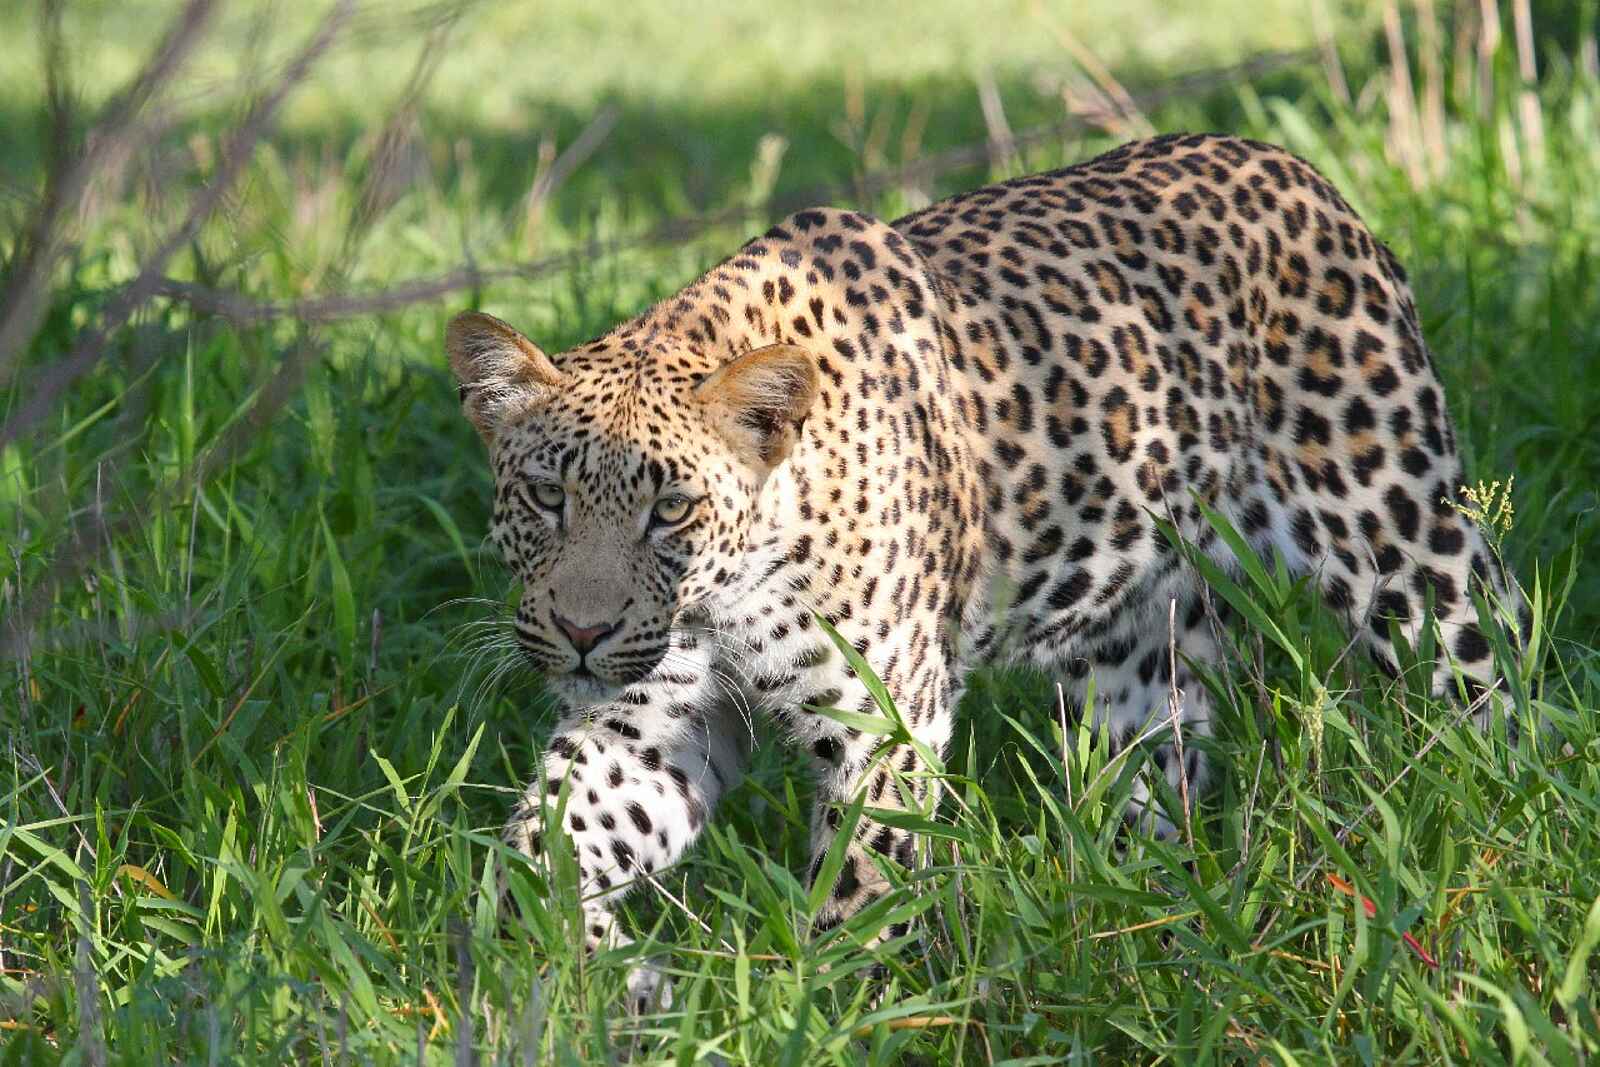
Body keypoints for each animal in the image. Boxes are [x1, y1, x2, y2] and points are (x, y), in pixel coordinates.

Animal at [444, 133, 1518, 1010]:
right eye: (545, 496)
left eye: (672, 508)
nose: (582, 634)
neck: (728, 590)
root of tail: (1293, 167)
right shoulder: (653, 718)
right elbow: (544, 841)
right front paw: (595, 966)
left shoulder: (882, 719)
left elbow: (864, 884)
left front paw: (842, 1010)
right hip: (1133, 636)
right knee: (1155, 757)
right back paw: (1133, 915)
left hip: (1399, 537)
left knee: (1492, 674)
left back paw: (1505, 828)